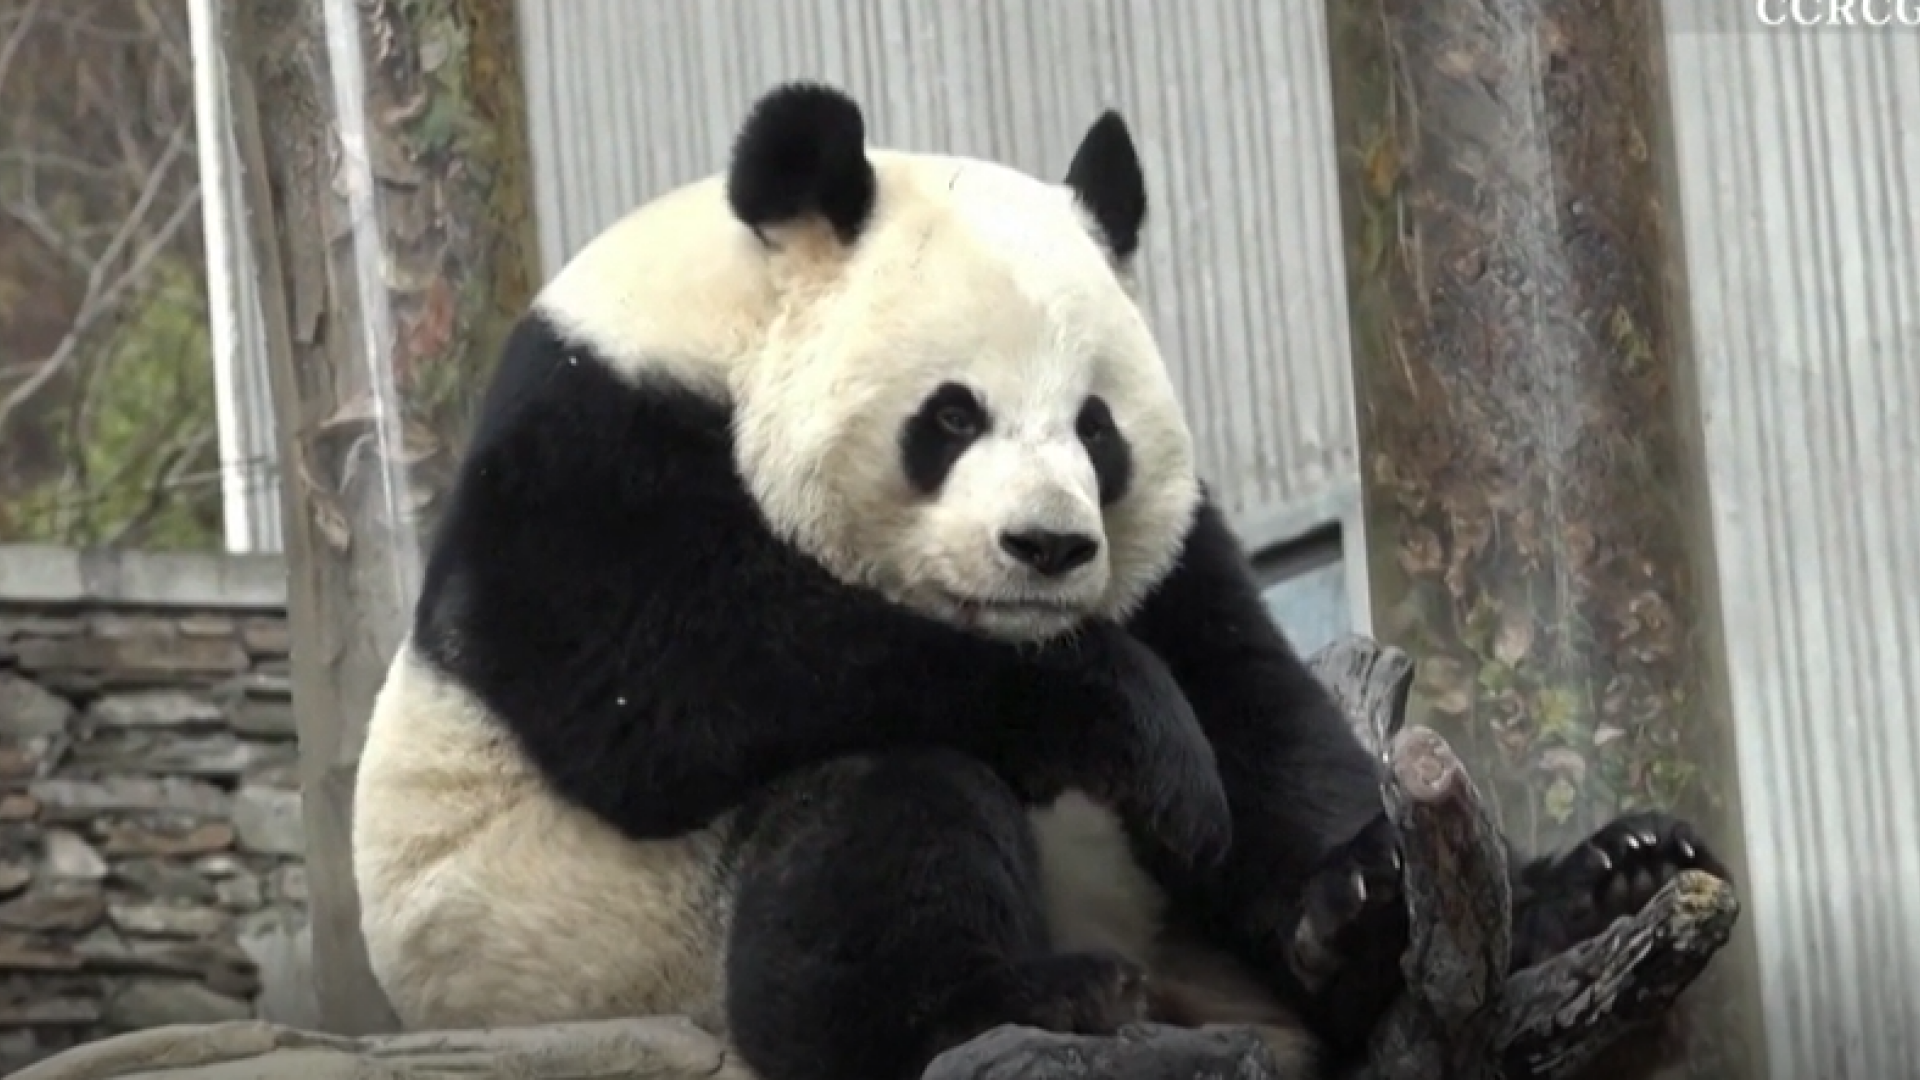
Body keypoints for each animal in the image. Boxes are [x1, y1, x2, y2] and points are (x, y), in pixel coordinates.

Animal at [352, 81, 1730, 1080]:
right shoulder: (592, 436)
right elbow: (662, 671)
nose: (1051, 549)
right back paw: (1013, 1000)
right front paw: (1134, 727)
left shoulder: (1165, 553)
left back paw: (1552, 889)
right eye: (951, 416)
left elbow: (1256, 707)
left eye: (1097, 429)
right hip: (611, 945)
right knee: (878, 804)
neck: (731, 308)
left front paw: (1378, 893)